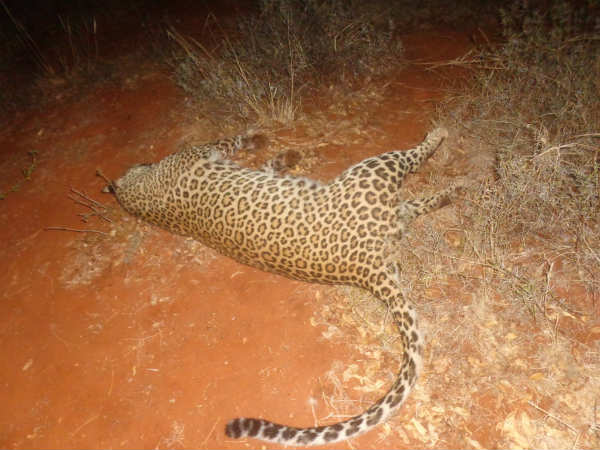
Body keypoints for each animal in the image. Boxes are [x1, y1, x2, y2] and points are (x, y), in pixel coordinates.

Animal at [105, 127, 455, 446]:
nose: (141, 162)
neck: (145, 200)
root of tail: (365, 268)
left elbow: (262, 165)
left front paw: (285, 156)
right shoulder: (201, 151)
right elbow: (227, 140)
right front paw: (257, 139)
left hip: (391, 211)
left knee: (411, 206)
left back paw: (447, 194)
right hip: (374, 170)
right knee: (412, 162)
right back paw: (441, 146)